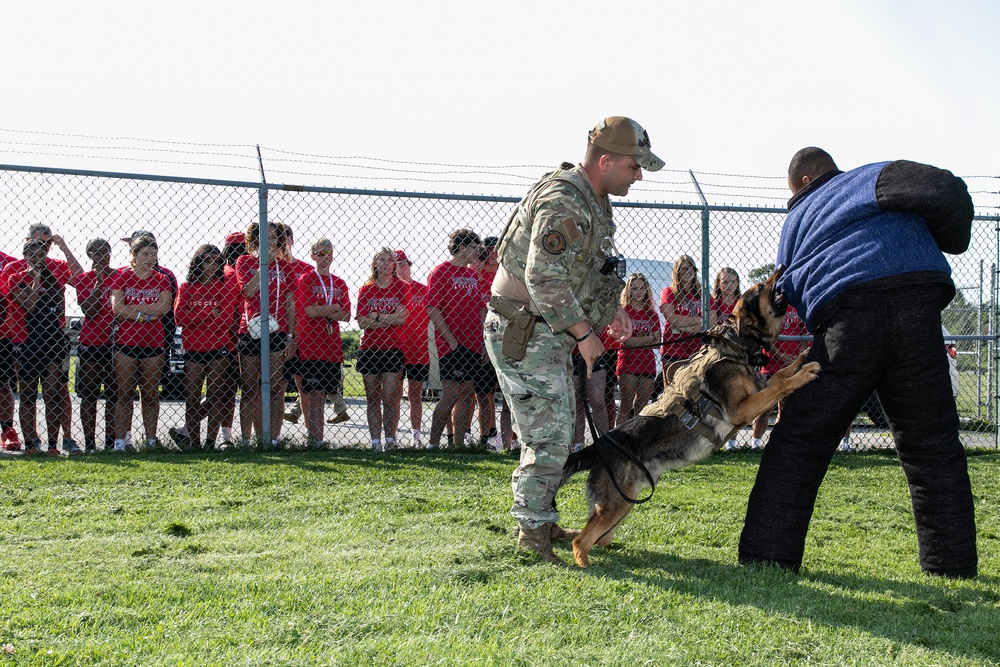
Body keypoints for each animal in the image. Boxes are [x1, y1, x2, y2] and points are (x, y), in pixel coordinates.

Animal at [556, 268, 820, 568]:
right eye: (762, 287)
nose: (781, 268)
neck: (738, 344)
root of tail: (598, 445)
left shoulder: (755, 393)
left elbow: (781, 374)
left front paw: (802, 357)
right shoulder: (742, 409)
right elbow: (781, 385)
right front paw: (805, 372)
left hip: (625, 502)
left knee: (599, 538)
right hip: (615, 505)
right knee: (581, 541)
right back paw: (586, 564)